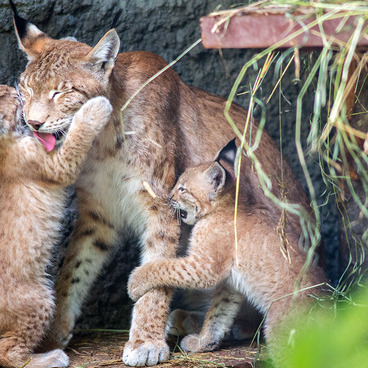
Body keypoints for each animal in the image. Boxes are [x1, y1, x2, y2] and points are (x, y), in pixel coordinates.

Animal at [0, 86, 112, 368]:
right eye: (7, 98)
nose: (13, 89)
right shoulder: (56, 164)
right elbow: (74, 139)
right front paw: (95, 108)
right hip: (38, 298)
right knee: (6, 353)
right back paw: (49, 358)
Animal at [129, 139, 324, 366]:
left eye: (183, 188)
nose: (169, 196)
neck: (224, 207)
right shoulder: (229, 284)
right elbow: (217, 315)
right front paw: (203, 343)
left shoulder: (203, 268)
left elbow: (164, 267)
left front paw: (135, 280)